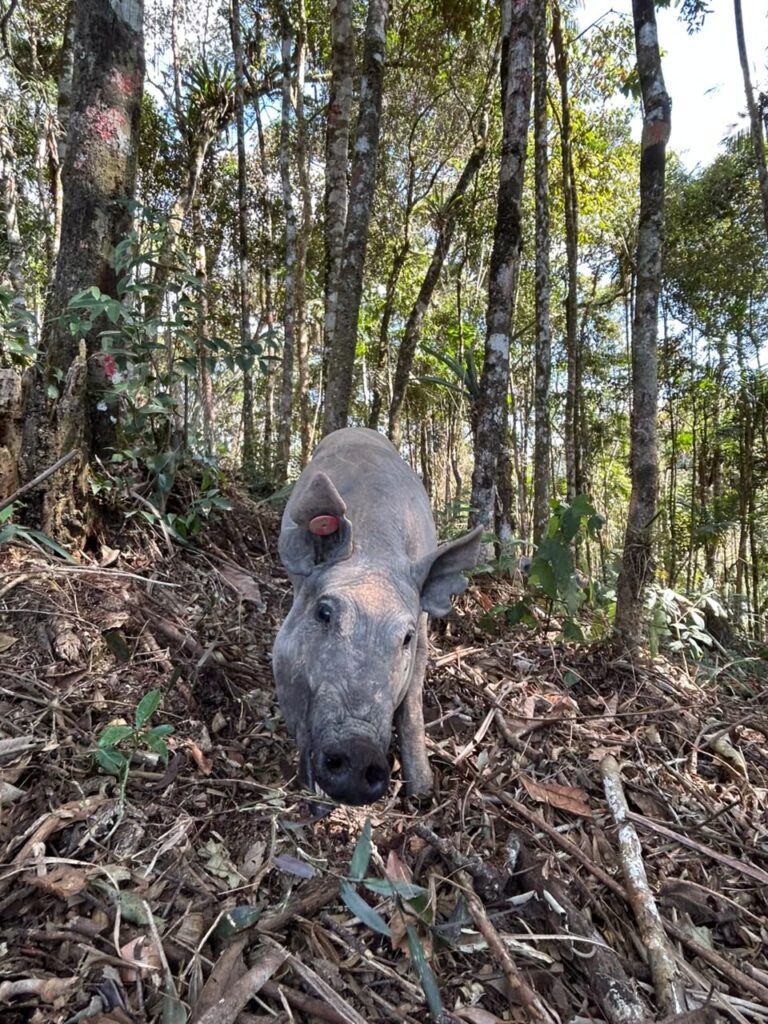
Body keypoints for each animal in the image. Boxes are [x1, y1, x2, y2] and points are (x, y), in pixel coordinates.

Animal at [272, 427, 482, 806]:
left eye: (406, 638)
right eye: (324, 612)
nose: (359, 753)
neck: (374, 553)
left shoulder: (423, 627)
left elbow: (412, 699)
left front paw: (422, 793)